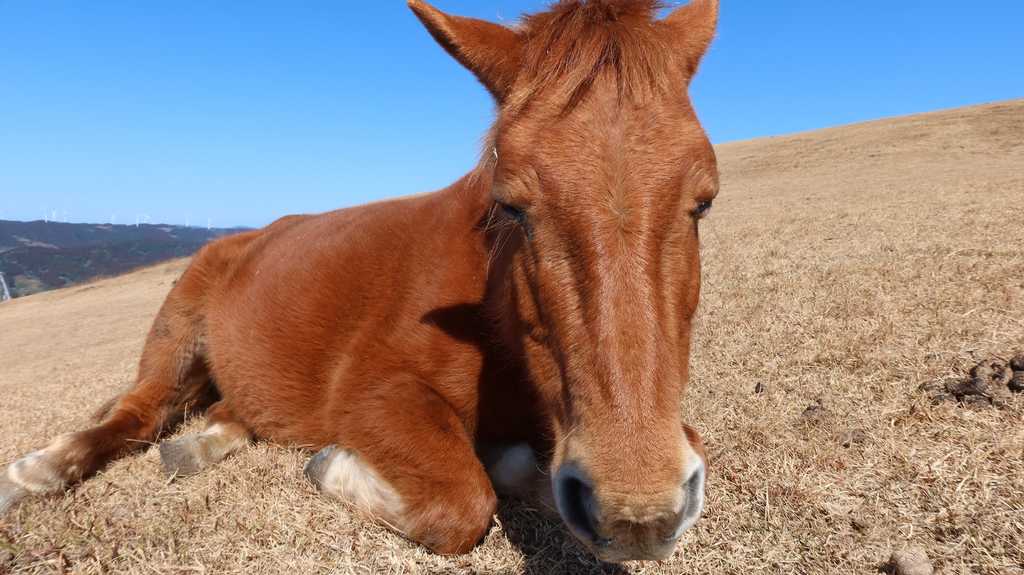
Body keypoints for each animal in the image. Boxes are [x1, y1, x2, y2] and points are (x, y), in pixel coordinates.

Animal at [1, 0, 719, 563]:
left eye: (704, 201)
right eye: (512, 206)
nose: (637, 512)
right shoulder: (374, 396)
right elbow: (464, 501)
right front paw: (335, 465)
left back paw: (197, 447)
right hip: (176, 332)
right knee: (138, 413)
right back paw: (39, 471)